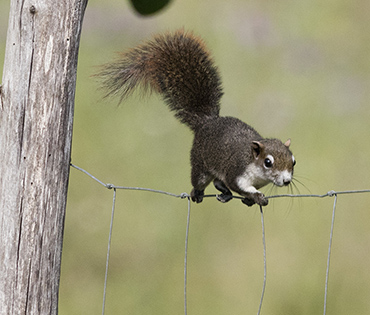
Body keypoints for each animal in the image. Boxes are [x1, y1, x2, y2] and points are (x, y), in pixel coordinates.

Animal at [97, 29, 294, 207]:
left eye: (293, 161)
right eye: (268, 162)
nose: (286, 181)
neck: (255, 168)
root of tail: (207, 121)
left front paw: (250, 199)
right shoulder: (236, 172)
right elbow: (240, 186)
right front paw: (256, 196)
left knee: (218, 181)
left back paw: (225, 195)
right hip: (200, 164)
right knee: (204, 181)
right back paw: (197, 193)